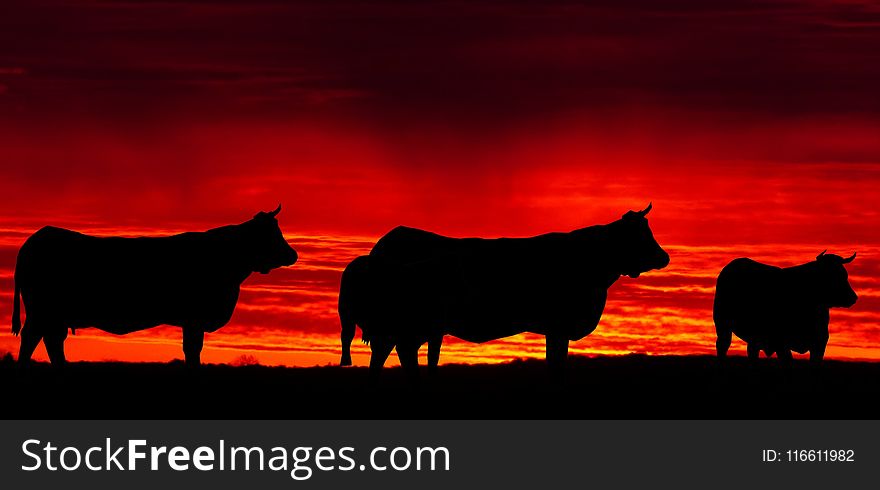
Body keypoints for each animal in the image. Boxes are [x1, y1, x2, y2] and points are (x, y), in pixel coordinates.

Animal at [12, 206, 298, 364]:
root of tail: (36, 238)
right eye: (272, 234)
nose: (292, 254)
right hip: (41, 311)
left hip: (53, 315)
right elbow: (192, 351)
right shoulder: (194, 319)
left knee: (51, 341)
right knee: (33, 338)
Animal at [712, 253, 856, 364]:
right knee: (723, 345)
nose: (853, 297)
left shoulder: (820, 342)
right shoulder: (781, 343)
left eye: (845, 275)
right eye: (832, 276)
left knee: (752, 351)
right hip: (722, 325)